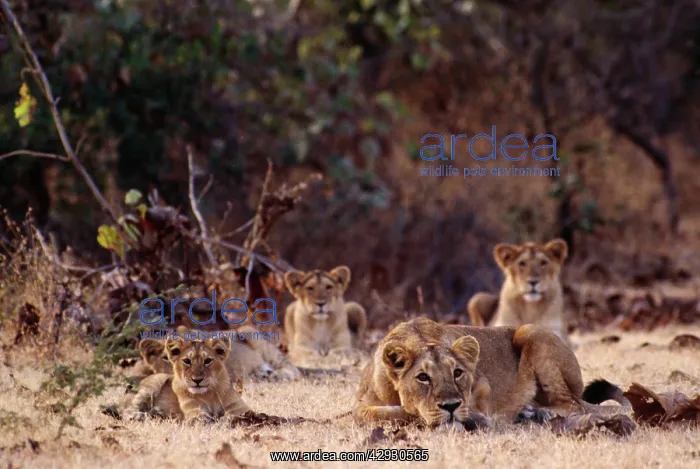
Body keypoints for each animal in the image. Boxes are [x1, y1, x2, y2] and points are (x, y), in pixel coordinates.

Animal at [354, 317, 628, 428]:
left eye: (458, 373)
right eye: (423, 377)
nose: (450, 406)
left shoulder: (482, 384)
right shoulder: (361, 403)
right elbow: (372, 413)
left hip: (529, 330)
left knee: (572, 405)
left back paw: (538, 414)